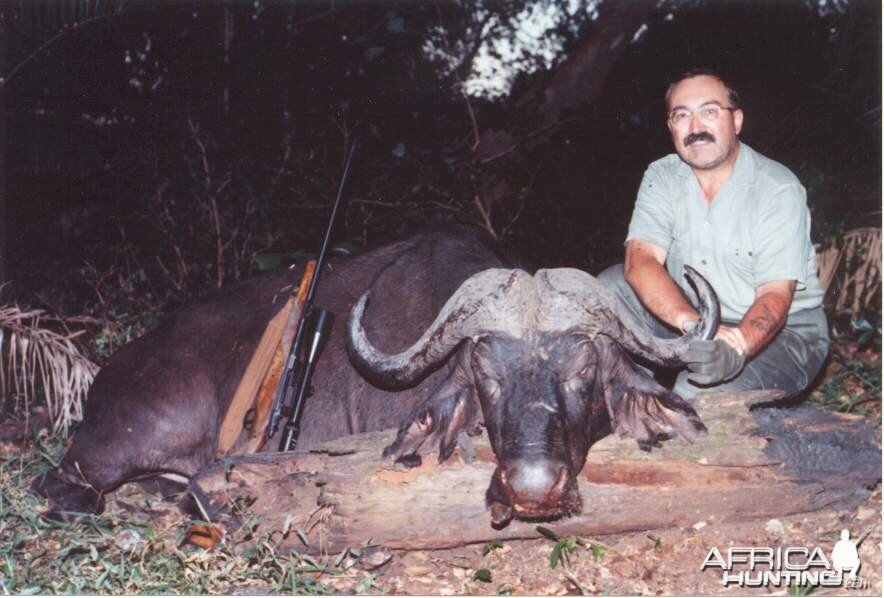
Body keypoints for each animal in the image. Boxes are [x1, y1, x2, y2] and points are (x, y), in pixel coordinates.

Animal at [34, 223, 716, 528]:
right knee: (61, 483)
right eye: (486, 374)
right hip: (118, 448)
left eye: (582, 370)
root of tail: (107, 377)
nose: (532, 486)